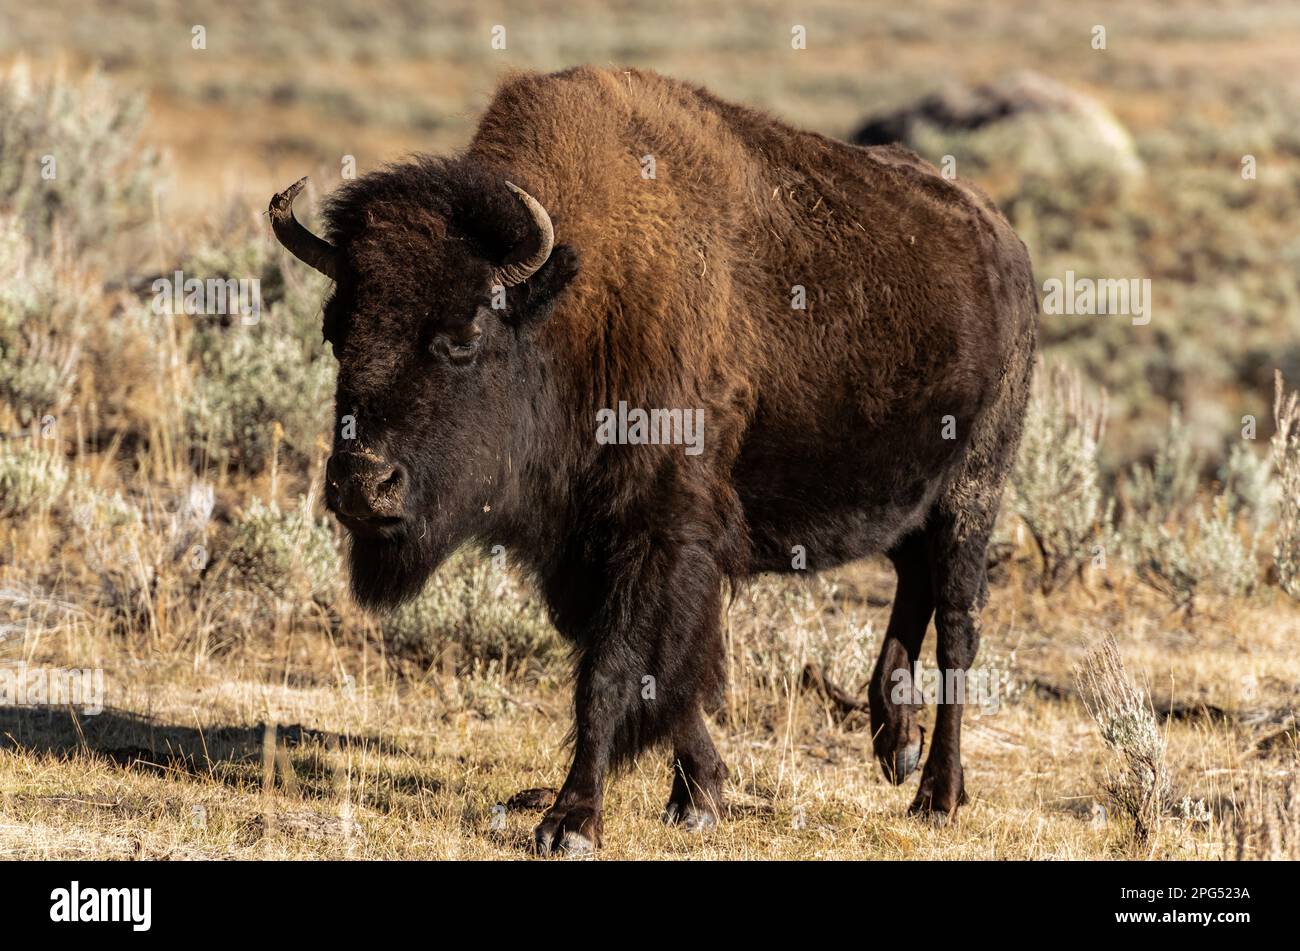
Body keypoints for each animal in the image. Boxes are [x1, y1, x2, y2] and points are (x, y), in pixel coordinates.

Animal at [269, 64, 1040, 852]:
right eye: (335, 331)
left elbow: (615, 672)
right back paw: (896, 743)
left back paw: (937, 793)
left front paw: (572, 821)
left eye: (462, 336)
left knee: (957, 627)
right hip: (914, 498)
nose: (362, 484)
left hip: (974, 491)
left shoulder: (657, 533)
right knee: (913, 584)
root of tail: (1005, 244)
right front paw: (699, 795)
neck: (573, 303)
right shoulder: (584, 549)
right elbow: (667, 675)